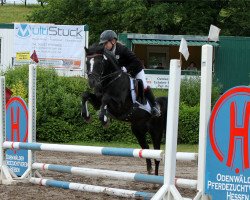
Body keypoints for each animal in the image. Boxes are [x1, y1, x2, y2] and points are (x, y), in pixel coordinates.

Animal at [82, 44, 168, 175]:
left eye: (100, 62)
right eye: (87, 62)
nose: (92, 82)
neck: (111, 81)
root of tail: (160, 104)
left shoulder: (119, 106)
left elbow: (105, 100)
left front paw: (104, 120)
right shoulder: (97, 101)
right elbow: (85, 95)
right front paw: (86, 116)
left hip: (156, 132)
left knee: (157, 155)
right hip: (138, 130)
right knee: (146, 148)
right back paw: (149, 170)